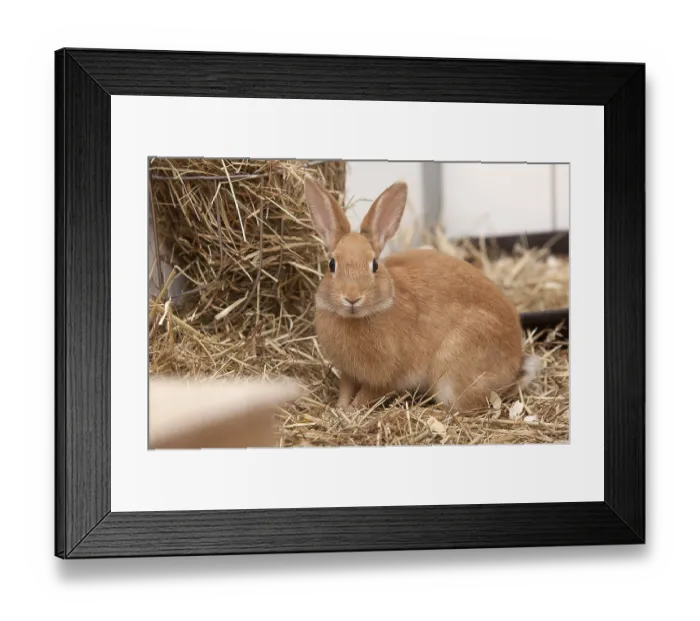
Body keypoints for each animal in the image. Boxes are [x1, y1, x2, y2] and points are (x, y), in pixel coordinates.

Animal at [303, 174, 541, 414]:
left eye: (375, 265)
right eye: (332, 264)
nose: (352, 298)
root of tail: (513, 369)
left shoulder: (385, 378)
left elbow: (367, 395)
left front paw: (351, 411)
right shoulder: (348, 373)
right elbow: (345, 390)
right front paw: (339, 409)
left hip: (453, 370)